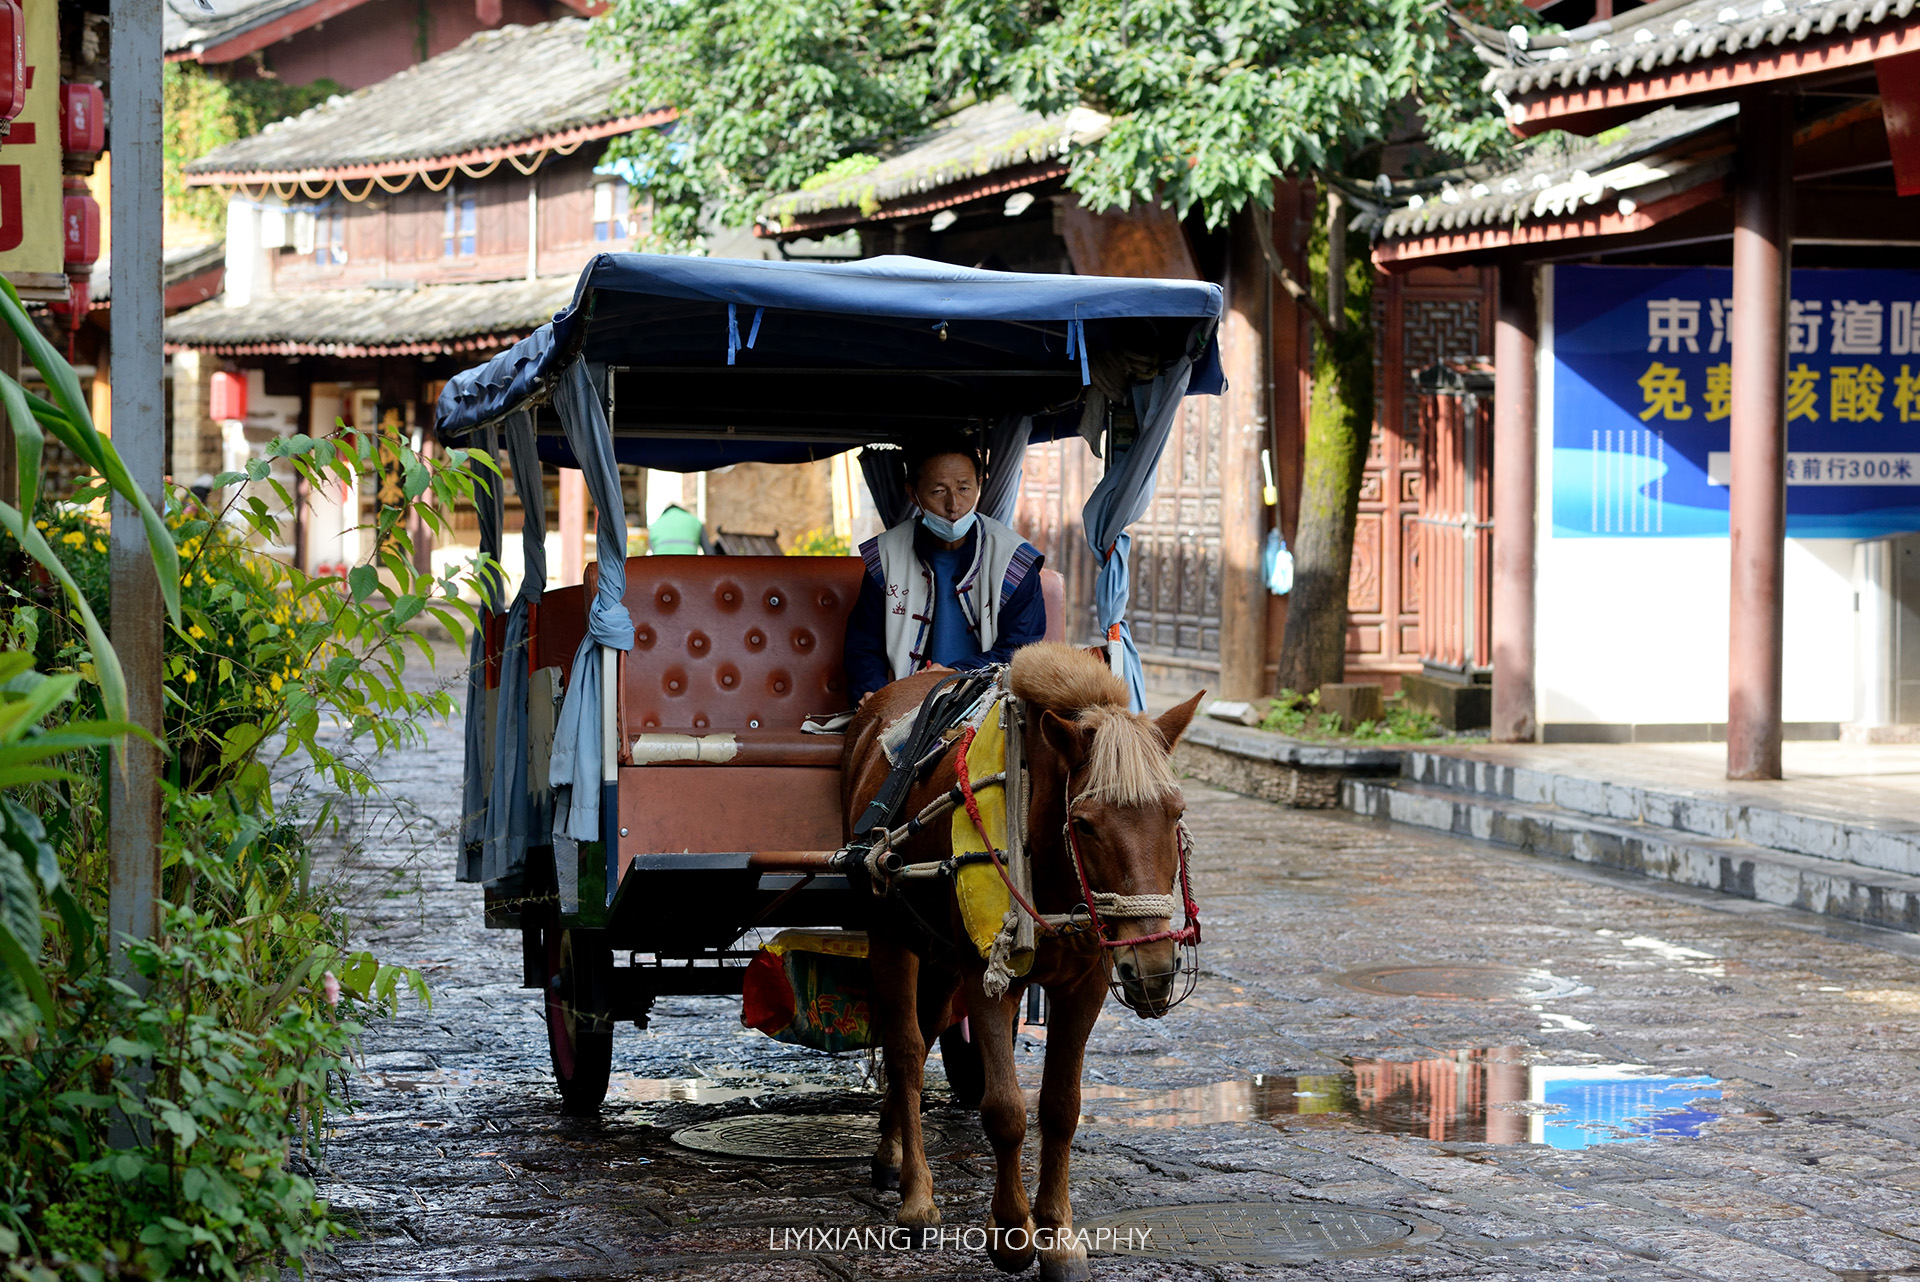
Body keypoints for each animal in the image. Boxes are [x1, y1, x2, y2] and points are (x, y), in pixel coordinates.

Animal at [840, 644, 1198, 1274]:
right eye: (1084, 823)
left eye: (1175, 813)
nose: (1153, 969)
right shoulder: (990, 977)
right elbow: (1004, 1109)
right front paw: (1011, 1233)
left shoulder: (1087, 984)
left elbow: (1060, 1106)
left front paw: (1056, 1234)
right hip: (889, 929)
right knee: (905, 1050)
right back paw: (916, 1196)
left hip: (938, 953)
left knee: (926, 1034)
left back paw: (890, 1151)